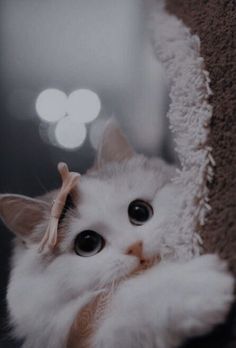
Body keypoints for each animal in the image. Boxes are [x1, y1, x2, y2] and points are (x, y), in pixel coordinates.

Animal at [0, 120, 233, 348]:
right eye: (87, 244)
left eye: (139, 212)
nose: (135, 246)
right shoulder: (84, 328)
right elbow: (136, 300)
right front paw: (199, 287)